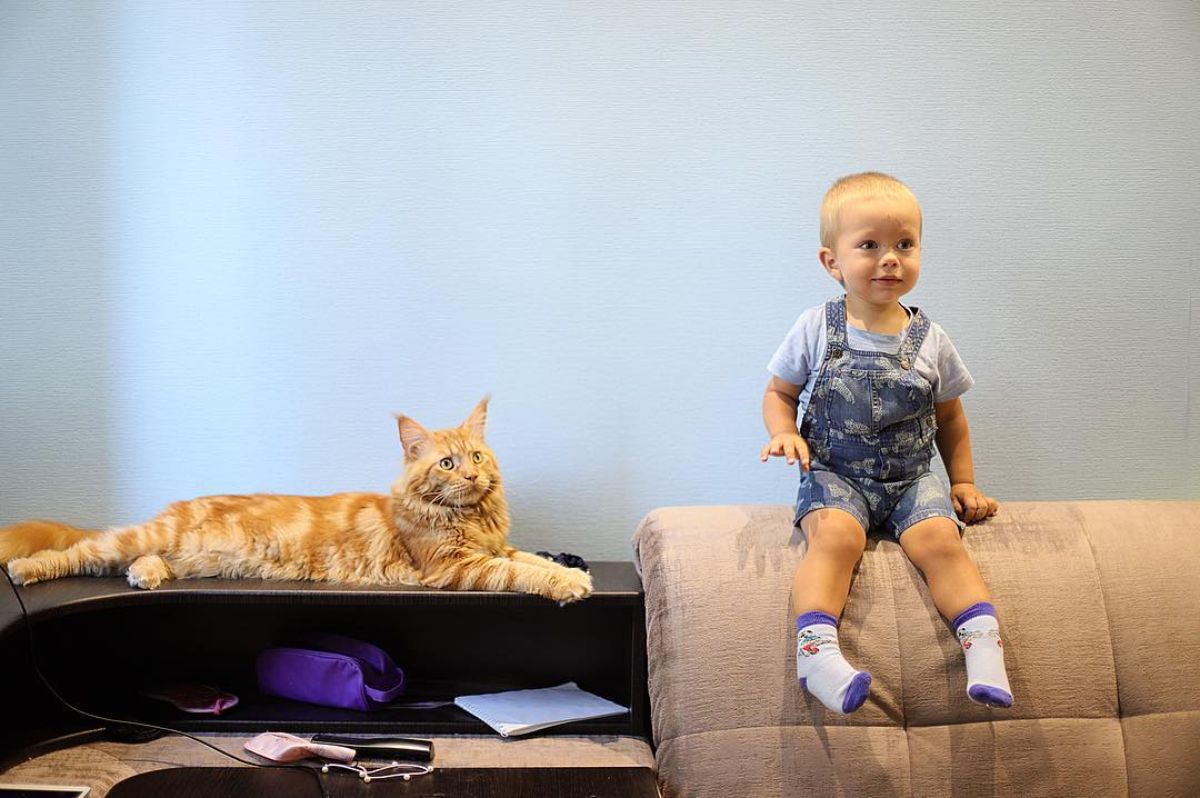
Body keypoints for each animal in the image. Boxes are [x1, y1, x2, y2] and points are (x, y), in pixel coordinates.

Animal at [0, 400, 590, 600]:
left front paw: (574, 572)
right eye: (447, 464)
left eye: (478, 457)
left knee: (135, 560)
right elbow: (520, 573)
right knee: (82, 552)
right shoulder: (455, 566)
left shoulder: (494, 547)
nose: (471, 475)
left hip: (174, 551)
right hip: (140, 537)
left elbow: (530, 557)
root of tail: (173, 507)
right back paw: (25, 569)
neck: (470, 517)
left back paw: (145, 576)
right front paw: (567, 585)